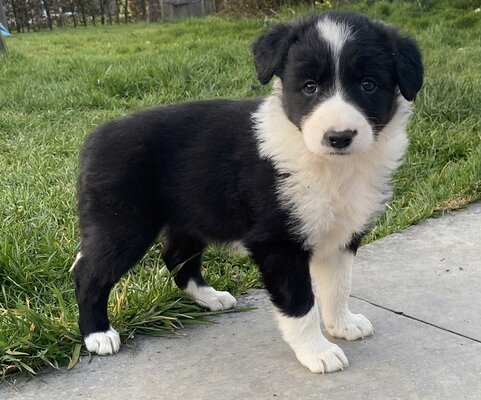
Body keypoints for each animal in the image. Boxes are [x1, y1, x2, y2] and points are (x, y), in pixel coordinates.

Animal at [72, 11, 423, 373]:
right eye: (309, 87)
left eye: (368, 85)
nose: (339, 137)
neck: (331, 166)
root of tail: (96, 136)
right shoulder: (278, 244)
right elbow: (300, 304)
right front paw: (318, 352)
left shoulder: (343, 235)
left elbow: (338, 287)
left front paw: (343, 324)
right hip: (123, 223)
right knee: (88, 272)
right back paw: (98, 335)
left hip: (192, 215)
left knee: (177, 257)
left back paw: (210, 298)